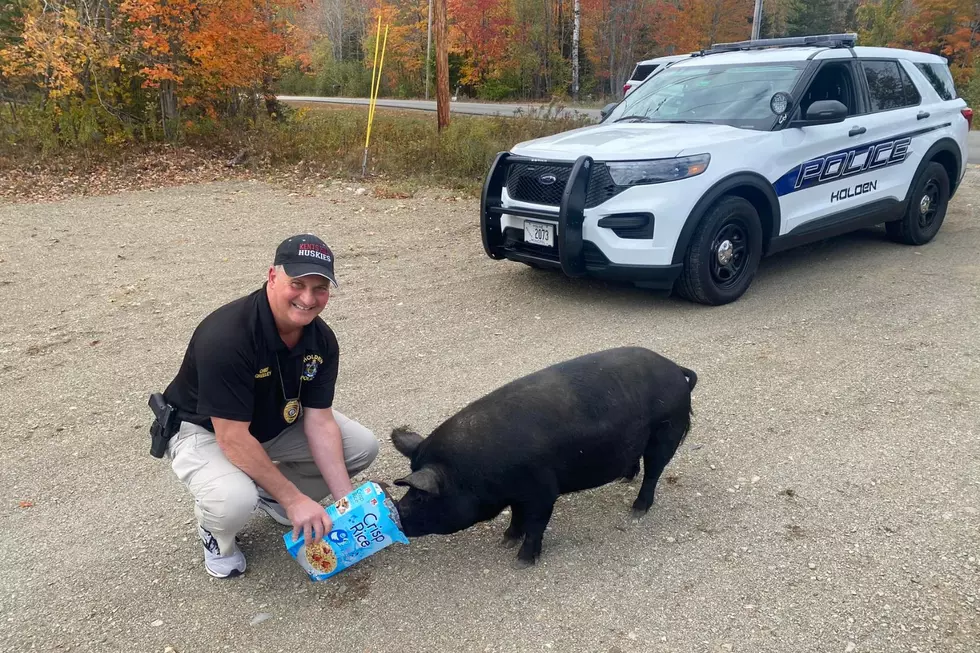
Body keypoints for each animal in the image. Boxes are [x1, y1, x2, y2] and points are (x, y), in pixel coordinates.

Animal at [390, 346, 696, 564]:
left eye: (420, 497)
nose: (396, 512)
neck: (472, 473)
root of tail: (675, 368)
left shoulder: (543, 490)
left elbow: (536, 523)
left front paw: (521, 562)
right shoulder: (517, 493)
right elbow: (517, 516)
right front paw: (506, 540)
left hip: (667, 432)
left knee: (654, 471)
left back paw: (637, 510)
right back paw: (624, 479)